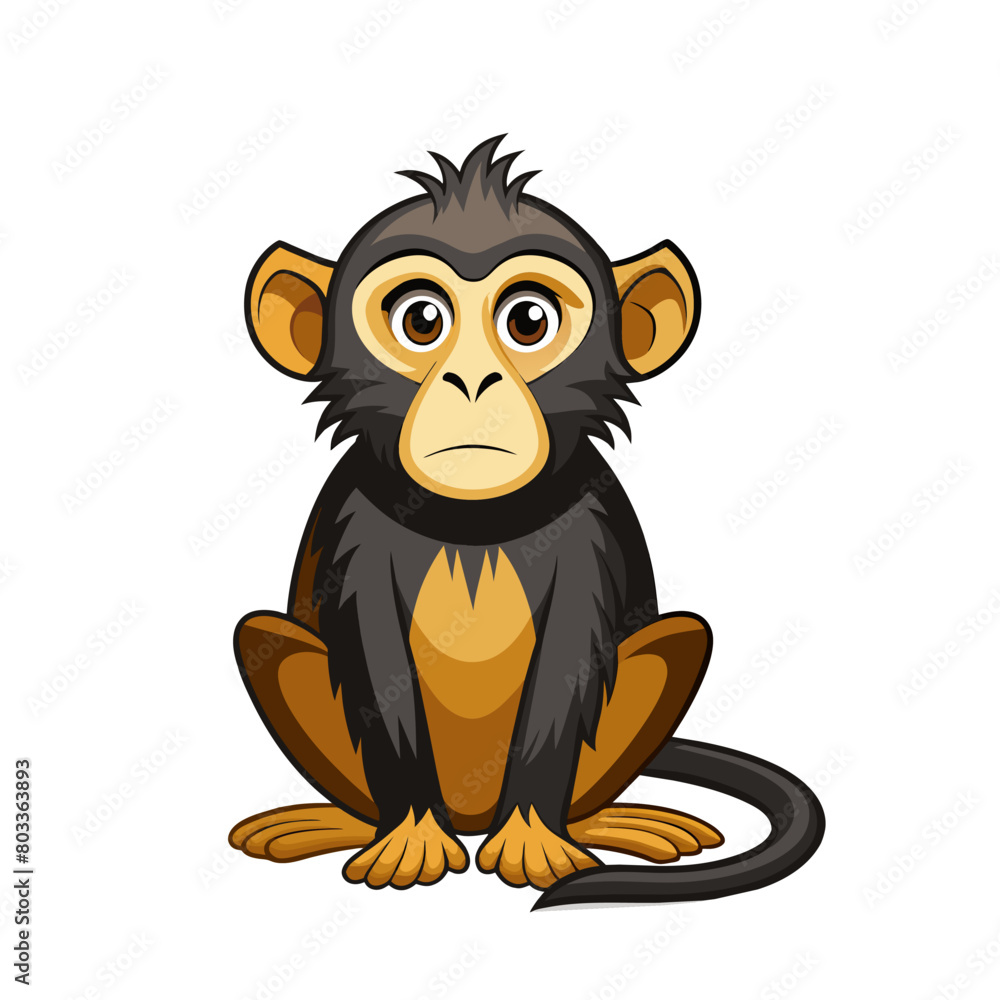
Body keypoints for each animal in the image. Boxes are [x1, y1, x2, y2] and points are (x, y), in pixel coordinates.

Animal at [228, 137, 824, 909]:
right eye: (421, 320)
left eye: (528, 322)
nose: (472, 383)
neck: (475, 521)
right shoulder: (354, 518)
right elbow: (374, 660)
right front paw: (410, 832)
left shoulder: (590, 520)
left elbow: (569, 660)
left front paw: (534, 835)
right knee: (264, 637)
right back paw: (342, 821)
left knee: (679, 639)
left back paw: (604, 819)